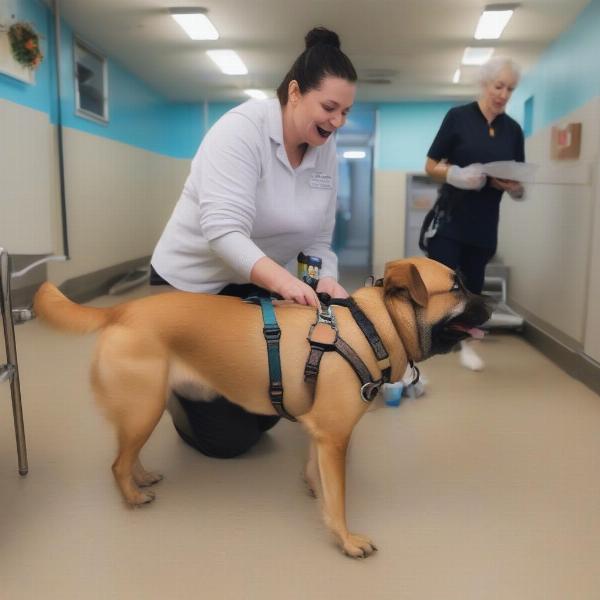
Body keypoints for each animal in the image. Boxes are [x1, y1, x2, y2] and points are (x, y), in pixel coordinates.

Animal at [32, 255, 490, 556]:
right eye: (456, 287)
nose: (488, 302)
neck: (371, 327)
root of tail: (121, 311)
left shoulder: (320, 434)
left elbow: (317, 476)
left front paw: (316, 493)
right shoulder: (335, 438)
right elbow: (339, 498)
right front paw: (345, 539)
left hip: (145, 408)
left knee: (128, 453)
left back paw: (141, 477)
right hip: (143, 408)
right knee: (116, 463)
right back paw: (131, 495)